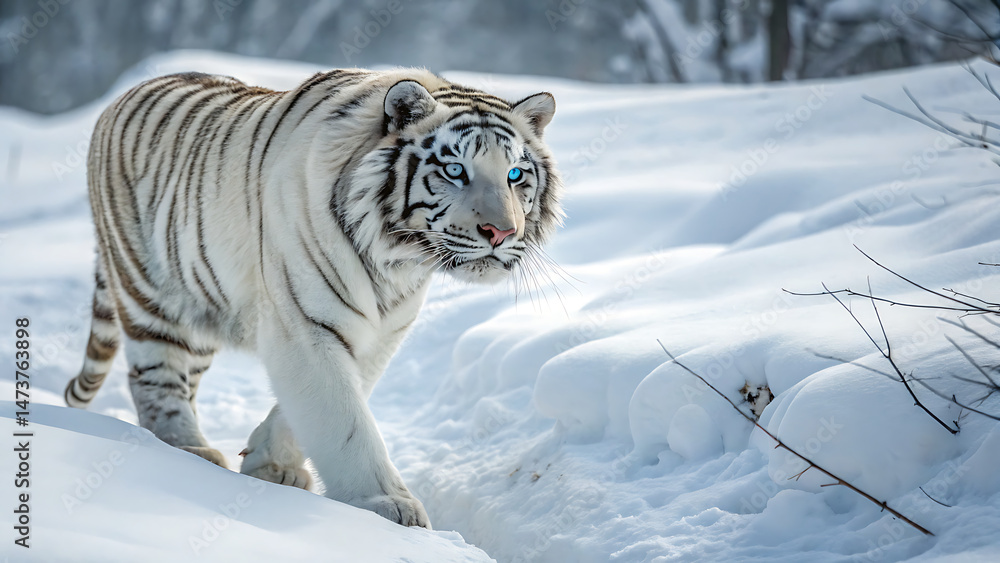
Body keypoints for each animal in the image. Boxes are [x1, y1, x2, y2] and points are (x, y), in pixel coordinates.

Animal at [64, 68, 563, 528]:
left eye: (515, 174)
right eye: (455, 170)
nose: (502, 233)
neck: (399, 260)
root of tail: (122, 96)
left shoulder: (381, 332)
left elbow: (324, 404)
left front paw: (271, 464)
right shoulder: (305, 322)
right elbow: (344, 418)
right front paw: (386, 503)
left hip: (203, 309)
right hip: (151, 292)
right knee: (154, 378)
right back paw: (188, 449)